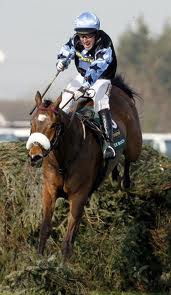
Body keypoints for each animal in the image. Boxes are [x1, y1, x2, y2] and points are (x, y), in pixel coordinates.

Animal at [26, 75, 142, 262]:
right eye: (31, 122)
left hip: (134, 146)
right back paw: (115, 175)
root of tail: (119, 88)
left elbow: (68, 239)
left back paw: (124, 180)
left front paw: (64, 266)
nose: (35, 155)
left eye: (54, 125)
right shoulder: (49, 191)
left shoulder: (78, 196)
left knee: (129, 159)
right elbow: (45, 229)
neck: (65, 159)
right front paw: (38, 260)